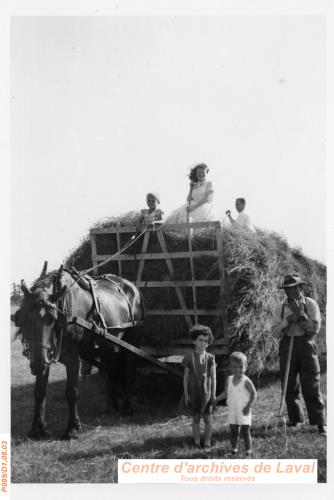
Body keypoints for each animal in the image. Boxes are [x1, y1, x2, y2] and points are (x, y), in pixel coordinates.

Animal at [13, 264, 144, 440]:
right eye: (25, 318)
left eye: (53, 319)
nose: (37, 365)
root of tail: (133, 287)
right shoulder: (45, 356)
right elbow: (39, 392)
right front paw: (37, 429)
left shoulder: (72, 358)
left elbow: (72, 393)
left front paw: (73, 429)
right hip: (107, 345)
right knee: (112, 369)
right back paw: (111, 406)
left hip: (131, 342)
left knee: (129, 371)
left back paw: (127, 408)